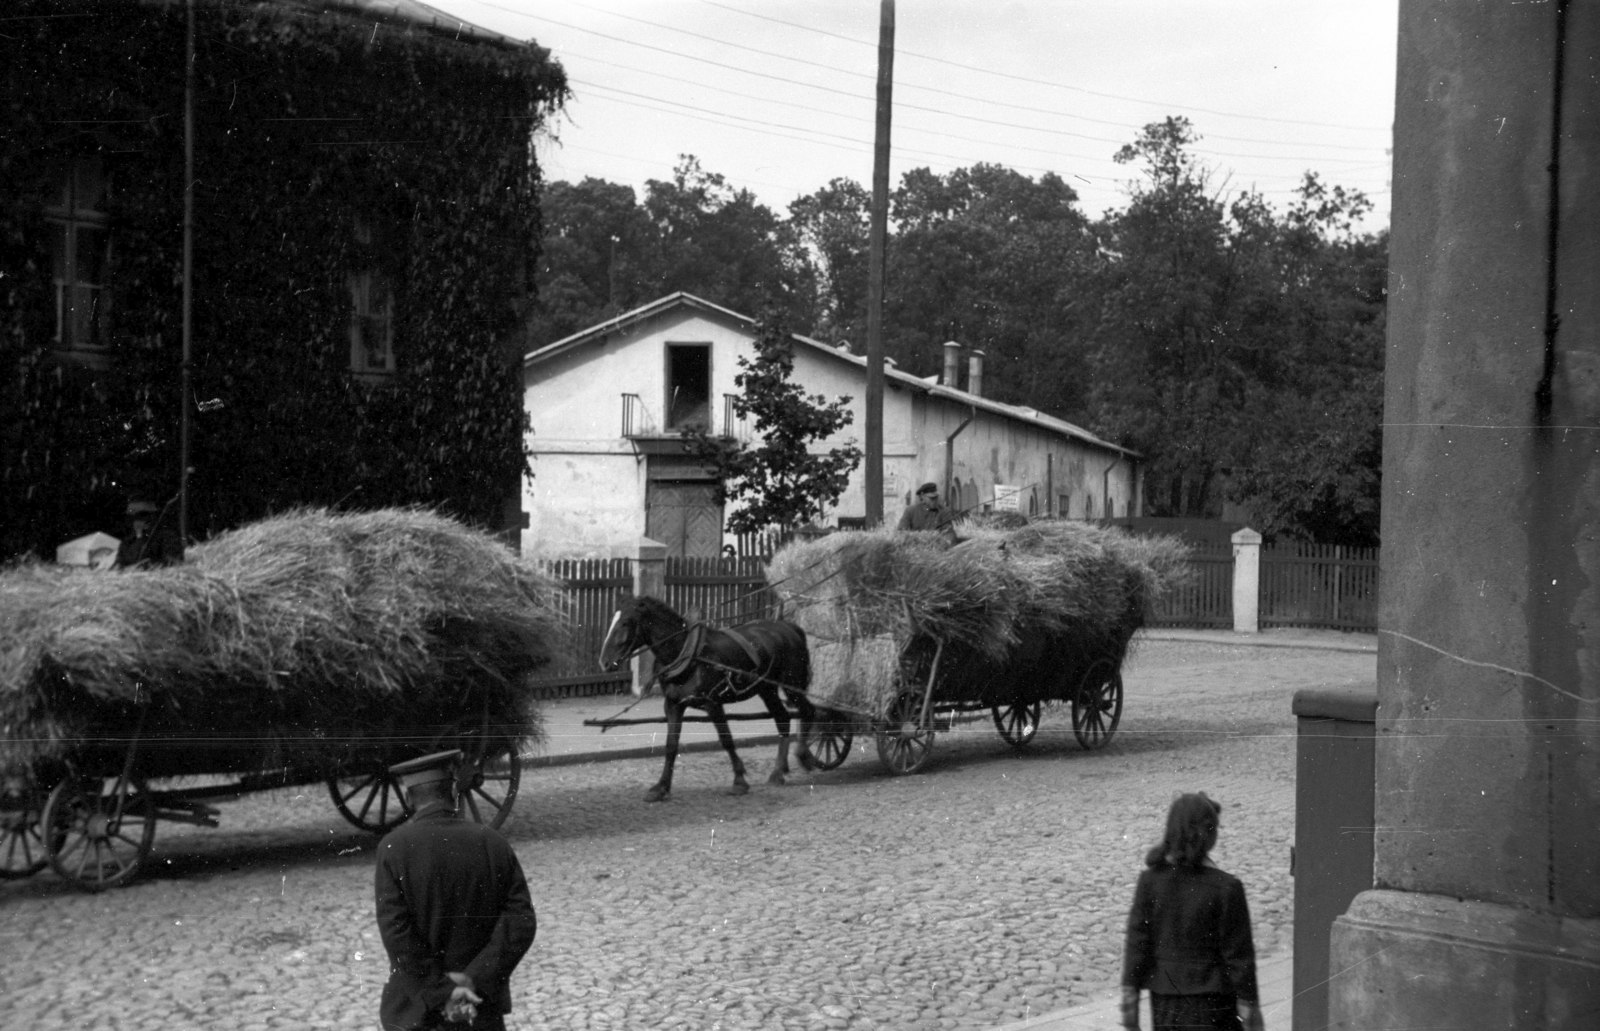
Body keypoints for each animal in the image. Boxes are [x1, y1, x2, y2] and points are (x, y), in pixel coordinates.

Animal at [601, 595, 819, 806]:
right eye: (612, 620)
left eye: (625, 623)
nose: (604, 662)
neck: (686, 653)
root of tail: (789, 627)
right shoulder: (673, 704)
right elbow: (671, 745)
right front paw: (661, 787)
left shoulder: (712, 703)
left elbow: (726, 739)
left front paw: (739, 780)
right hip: (767, 690)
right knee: (782, 719)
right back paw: (779, 771)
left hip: (792, 685)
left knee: (809, 711)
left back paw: (804, 755)